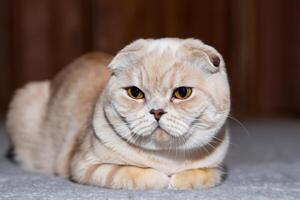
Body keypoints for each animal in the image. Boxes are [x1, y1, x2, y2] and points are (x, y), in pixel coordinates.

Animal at [5, 38, 231, 190]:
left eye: (182, 93)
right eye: (135, 93)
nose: (157, 111)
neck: (166, 157)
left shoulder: (216, 169)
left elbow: (201, 174)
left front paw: (178, 180)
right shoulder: (84, 165)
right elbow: (135, 174)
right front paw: (164, 179)